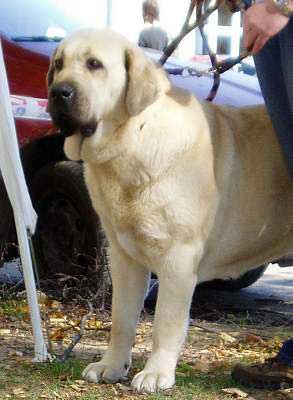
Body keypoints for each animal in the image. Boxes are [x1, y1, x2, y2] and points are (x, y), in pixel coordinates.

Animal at [46, 28, 290, 394]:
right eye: (59, 64)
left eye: (94, 65)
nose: (58, 92)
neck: (133, 140)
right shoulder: (123, 258)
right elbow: (121, 318)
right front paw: (111, 366)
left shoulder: (179, 259)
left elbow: (165, 323)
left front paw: (157, 373)